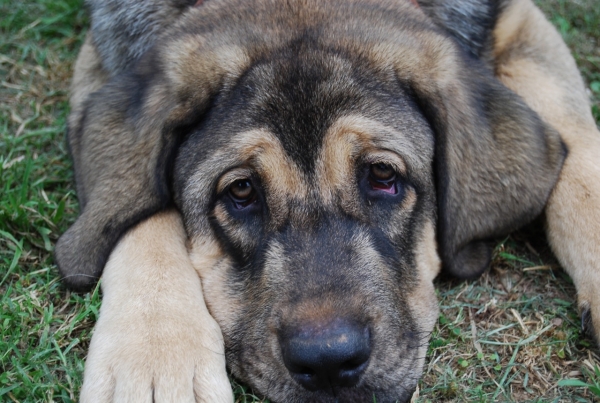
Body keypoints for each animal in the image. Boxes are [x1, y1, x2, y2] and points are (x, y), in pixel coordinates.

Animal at [56, 0, 600, 402]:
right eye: (241, 190)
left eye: (383, 175)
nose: (328, 361)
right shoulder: (103, 59)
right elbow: (131, 209)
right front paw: (154, 353)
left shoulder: (518, 20)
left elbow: (577, 142)